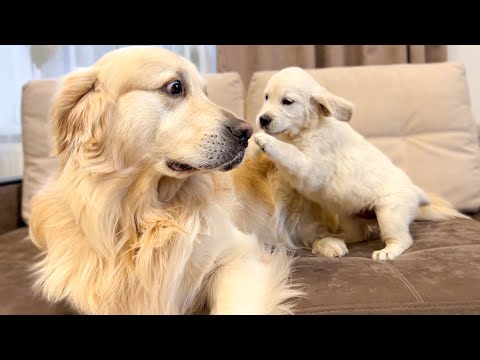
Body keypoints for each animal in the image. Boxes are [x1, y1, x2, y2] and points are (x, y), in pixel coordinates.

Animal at [253, 66, 470, 260]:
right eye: (266, 97)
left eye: (287, 102)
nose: (263, 120)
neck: (308, 129)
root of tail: (416, 192)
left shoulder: (311, 167)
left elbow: (289, 153)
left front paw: (265, 140)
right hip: (348, 214)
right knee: (360, 234)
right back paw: (336, 238)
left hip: (389, 213)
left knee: (403, 239)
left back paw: (387, 251)